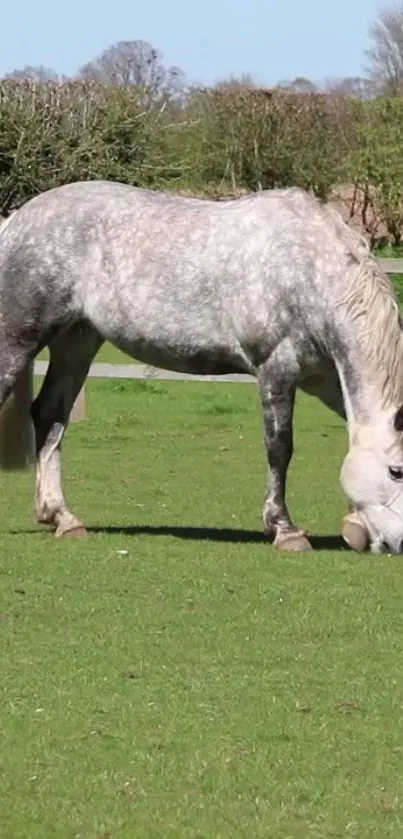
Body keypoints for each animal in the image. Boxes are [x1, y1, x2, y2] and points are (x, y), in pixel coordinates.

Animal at [0, 180, 403, 556]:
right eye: (396, 470)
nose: (397, 545)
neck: (307, 271)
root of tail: (16, 221)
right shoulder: (276, 368)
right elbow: (280, 448)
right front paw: (285, 530)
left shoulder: (327, 380)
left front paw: (355, 524)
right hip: (18, 339)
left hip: (77, 342)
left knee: (50, 416)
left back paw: (63, 518)